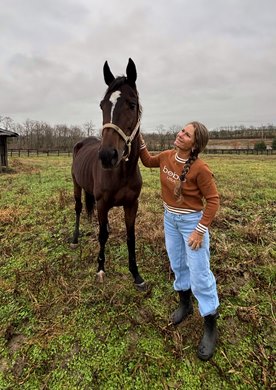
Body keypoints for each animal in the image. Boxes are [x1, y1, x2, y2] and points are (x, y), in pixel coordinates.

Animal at [70, 58, 147, 290]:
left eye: (132, 104)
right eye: (102, 105)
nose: (106, 156)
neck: (121, 173)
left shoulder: (131, 204)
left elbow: (131, 237)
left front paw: (136, 274)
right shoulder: (103, 202)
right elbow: (101, 235)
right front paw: (100, 269)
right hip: (76, 185)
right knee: (78, 209)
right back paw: (74, 239)